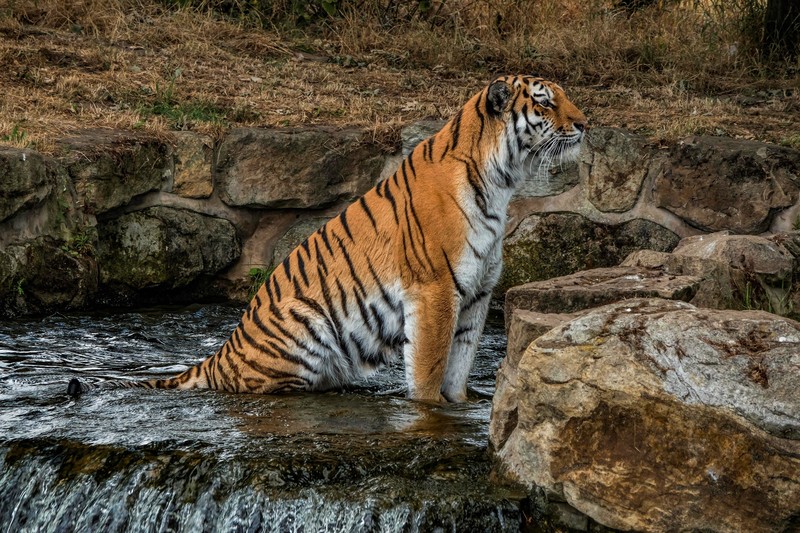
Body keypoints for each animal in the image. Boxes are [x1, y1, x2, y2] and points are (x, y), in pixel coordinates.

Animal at [67, 75, 587, 403]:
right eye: (544, 101)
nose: (585, 124)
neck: (503, 181)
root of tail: (223, 352)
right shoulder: (436, 290)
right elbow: (428, 370)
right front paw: (429, 412)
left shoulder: (477, 295)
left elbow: (459, 366)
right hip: (304, 330)